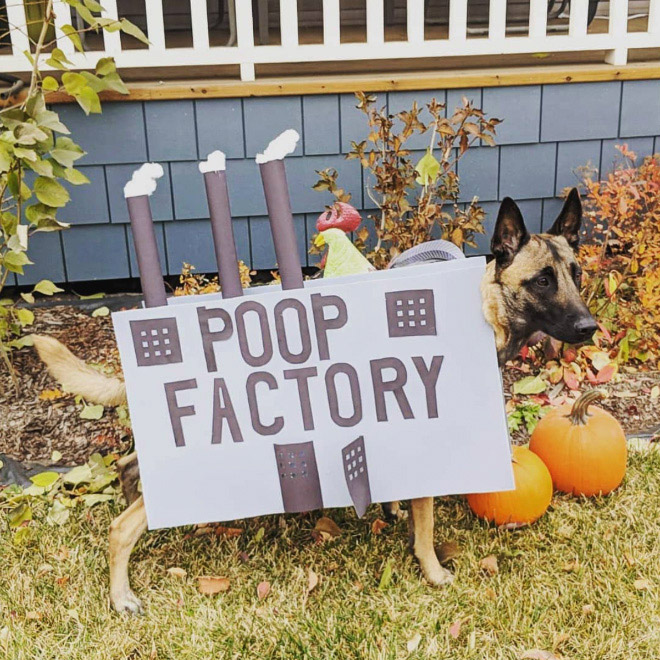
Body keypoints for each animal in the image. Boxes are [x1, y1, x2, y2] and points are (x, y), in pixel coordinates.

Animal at [32, 186, 600, 612]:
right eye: (542, 281)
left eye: (577, 274)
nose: (591, 329)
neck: (482, 307)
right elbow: (425, 527)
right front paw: (434, 570)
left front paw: (392, 511)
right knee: (119, 529)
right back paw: (121, 593)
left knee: (129, 467)